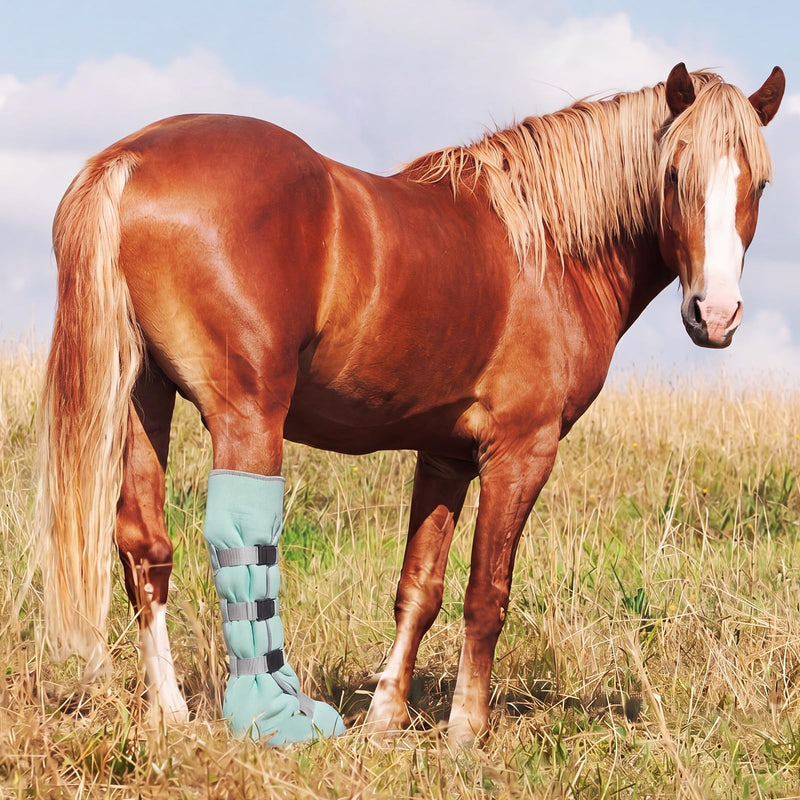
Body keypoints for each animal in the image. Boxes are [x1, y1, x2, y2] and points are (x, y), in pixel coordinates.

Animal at [36, 63, 784, 744]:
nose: (716, 315)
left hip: (141, 396)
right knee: (239, 541)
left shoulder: (445, 453)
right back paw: (273, 715)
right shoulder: (521, 450)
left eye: (760, 184)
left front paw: (387, 716)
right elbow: (486, 593)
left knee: (144, 545)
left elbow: (419, 588)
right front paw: (465, 729)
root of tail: (131, 160)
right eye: (674, 174)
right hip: (247, 412)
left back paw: (170, 710)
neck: (549, 248)